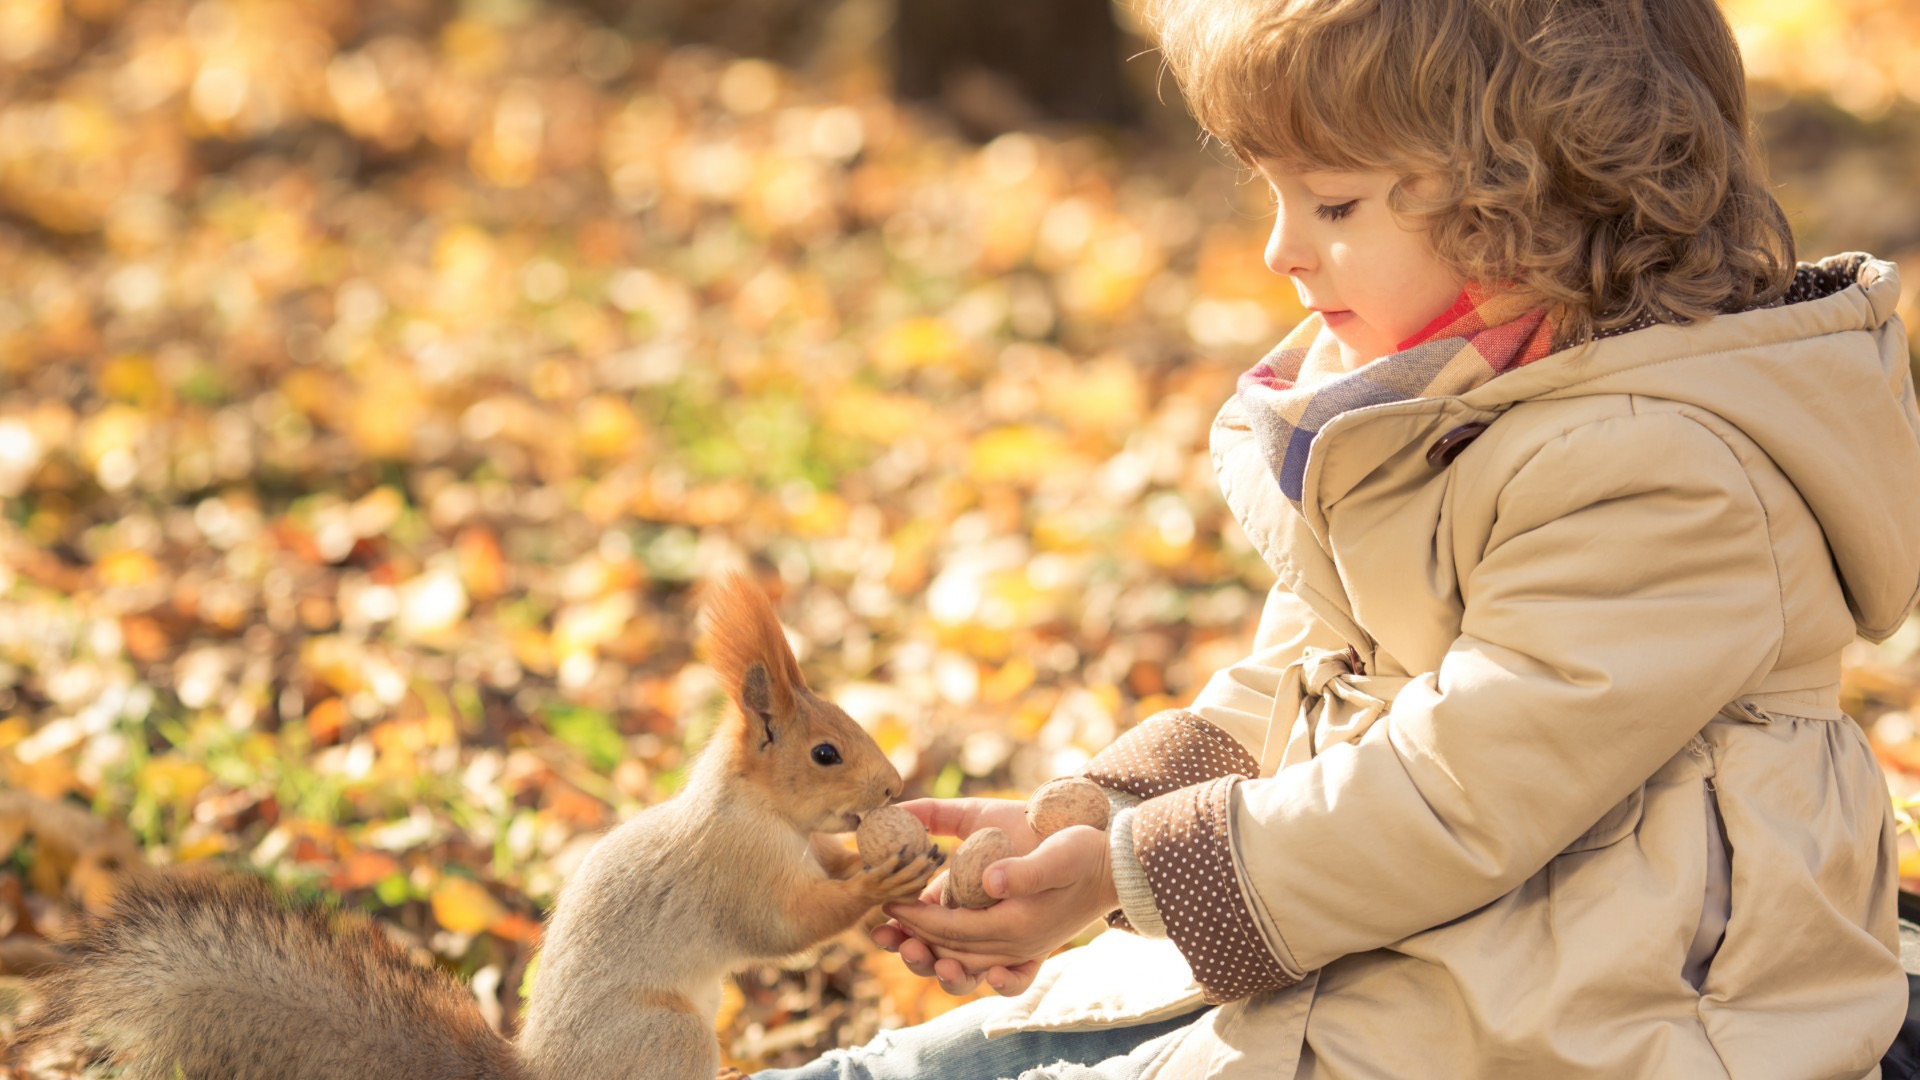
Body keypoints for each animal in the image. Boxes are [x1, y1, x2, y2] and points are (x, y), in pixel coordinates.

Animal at [15, 576, 944, 1068]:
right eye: (825, 752)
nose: (895, 785)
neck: (751, 806)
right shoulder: (736, 866)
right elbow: (786, 926)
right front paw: (881, 877)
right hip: (669, 1036)